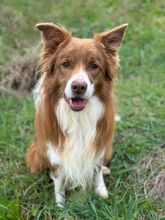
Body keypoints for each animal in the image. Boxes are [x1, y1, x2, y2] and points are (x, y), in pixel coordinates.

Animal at [26, 22, 127, 208]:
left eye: (94, 66)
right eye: (65, 63)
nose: (79, 86)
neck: (78, 117)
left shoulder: (99, 142)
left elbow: (96, 170)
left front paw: (102, 192)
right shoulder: (54, 151)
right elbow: (59, 180)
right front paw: (60, 205)